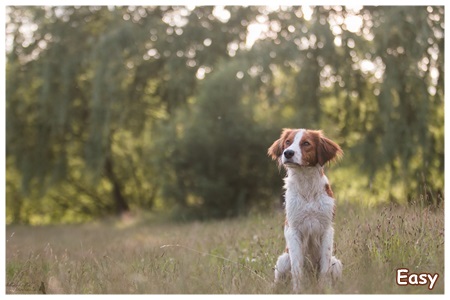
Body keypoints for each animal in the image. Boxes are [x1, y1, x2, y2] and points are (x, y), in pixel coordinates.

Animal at [268, 127, 344, 292]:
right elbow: (297, 269)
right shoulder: (293, 230)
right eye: (287, 142)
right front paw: (298, 291)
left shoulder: (327, 230)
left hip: (336, 263)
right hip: (283, 260)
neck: (307, 187)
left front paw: (325, 289)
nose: (288, 153)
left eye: (306, 143)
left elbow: (324, 268)